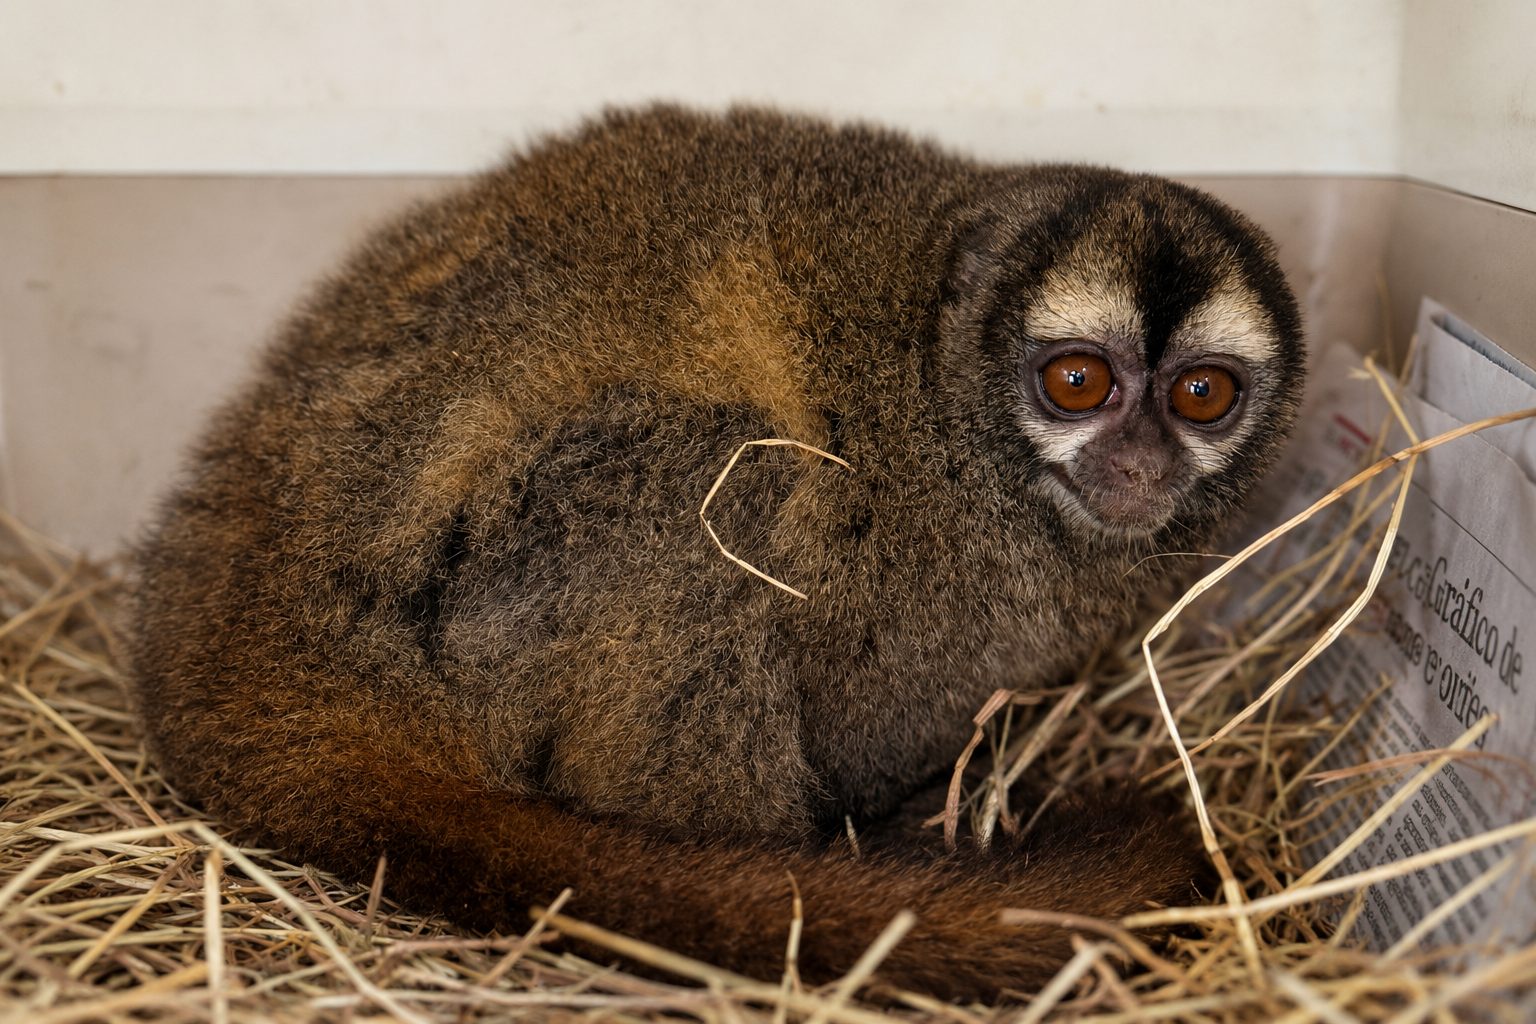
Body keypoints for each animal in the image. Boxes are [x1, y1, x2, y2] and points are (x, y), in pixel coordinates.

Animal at [130, 105, 1305, 1001]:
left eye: (1201, 395)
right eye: (1077, 383)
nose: (1139, 458)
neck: (944, 392)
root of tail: (250, 642)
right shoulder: (933, 560)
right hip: (475, 630)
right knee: (718, 476)